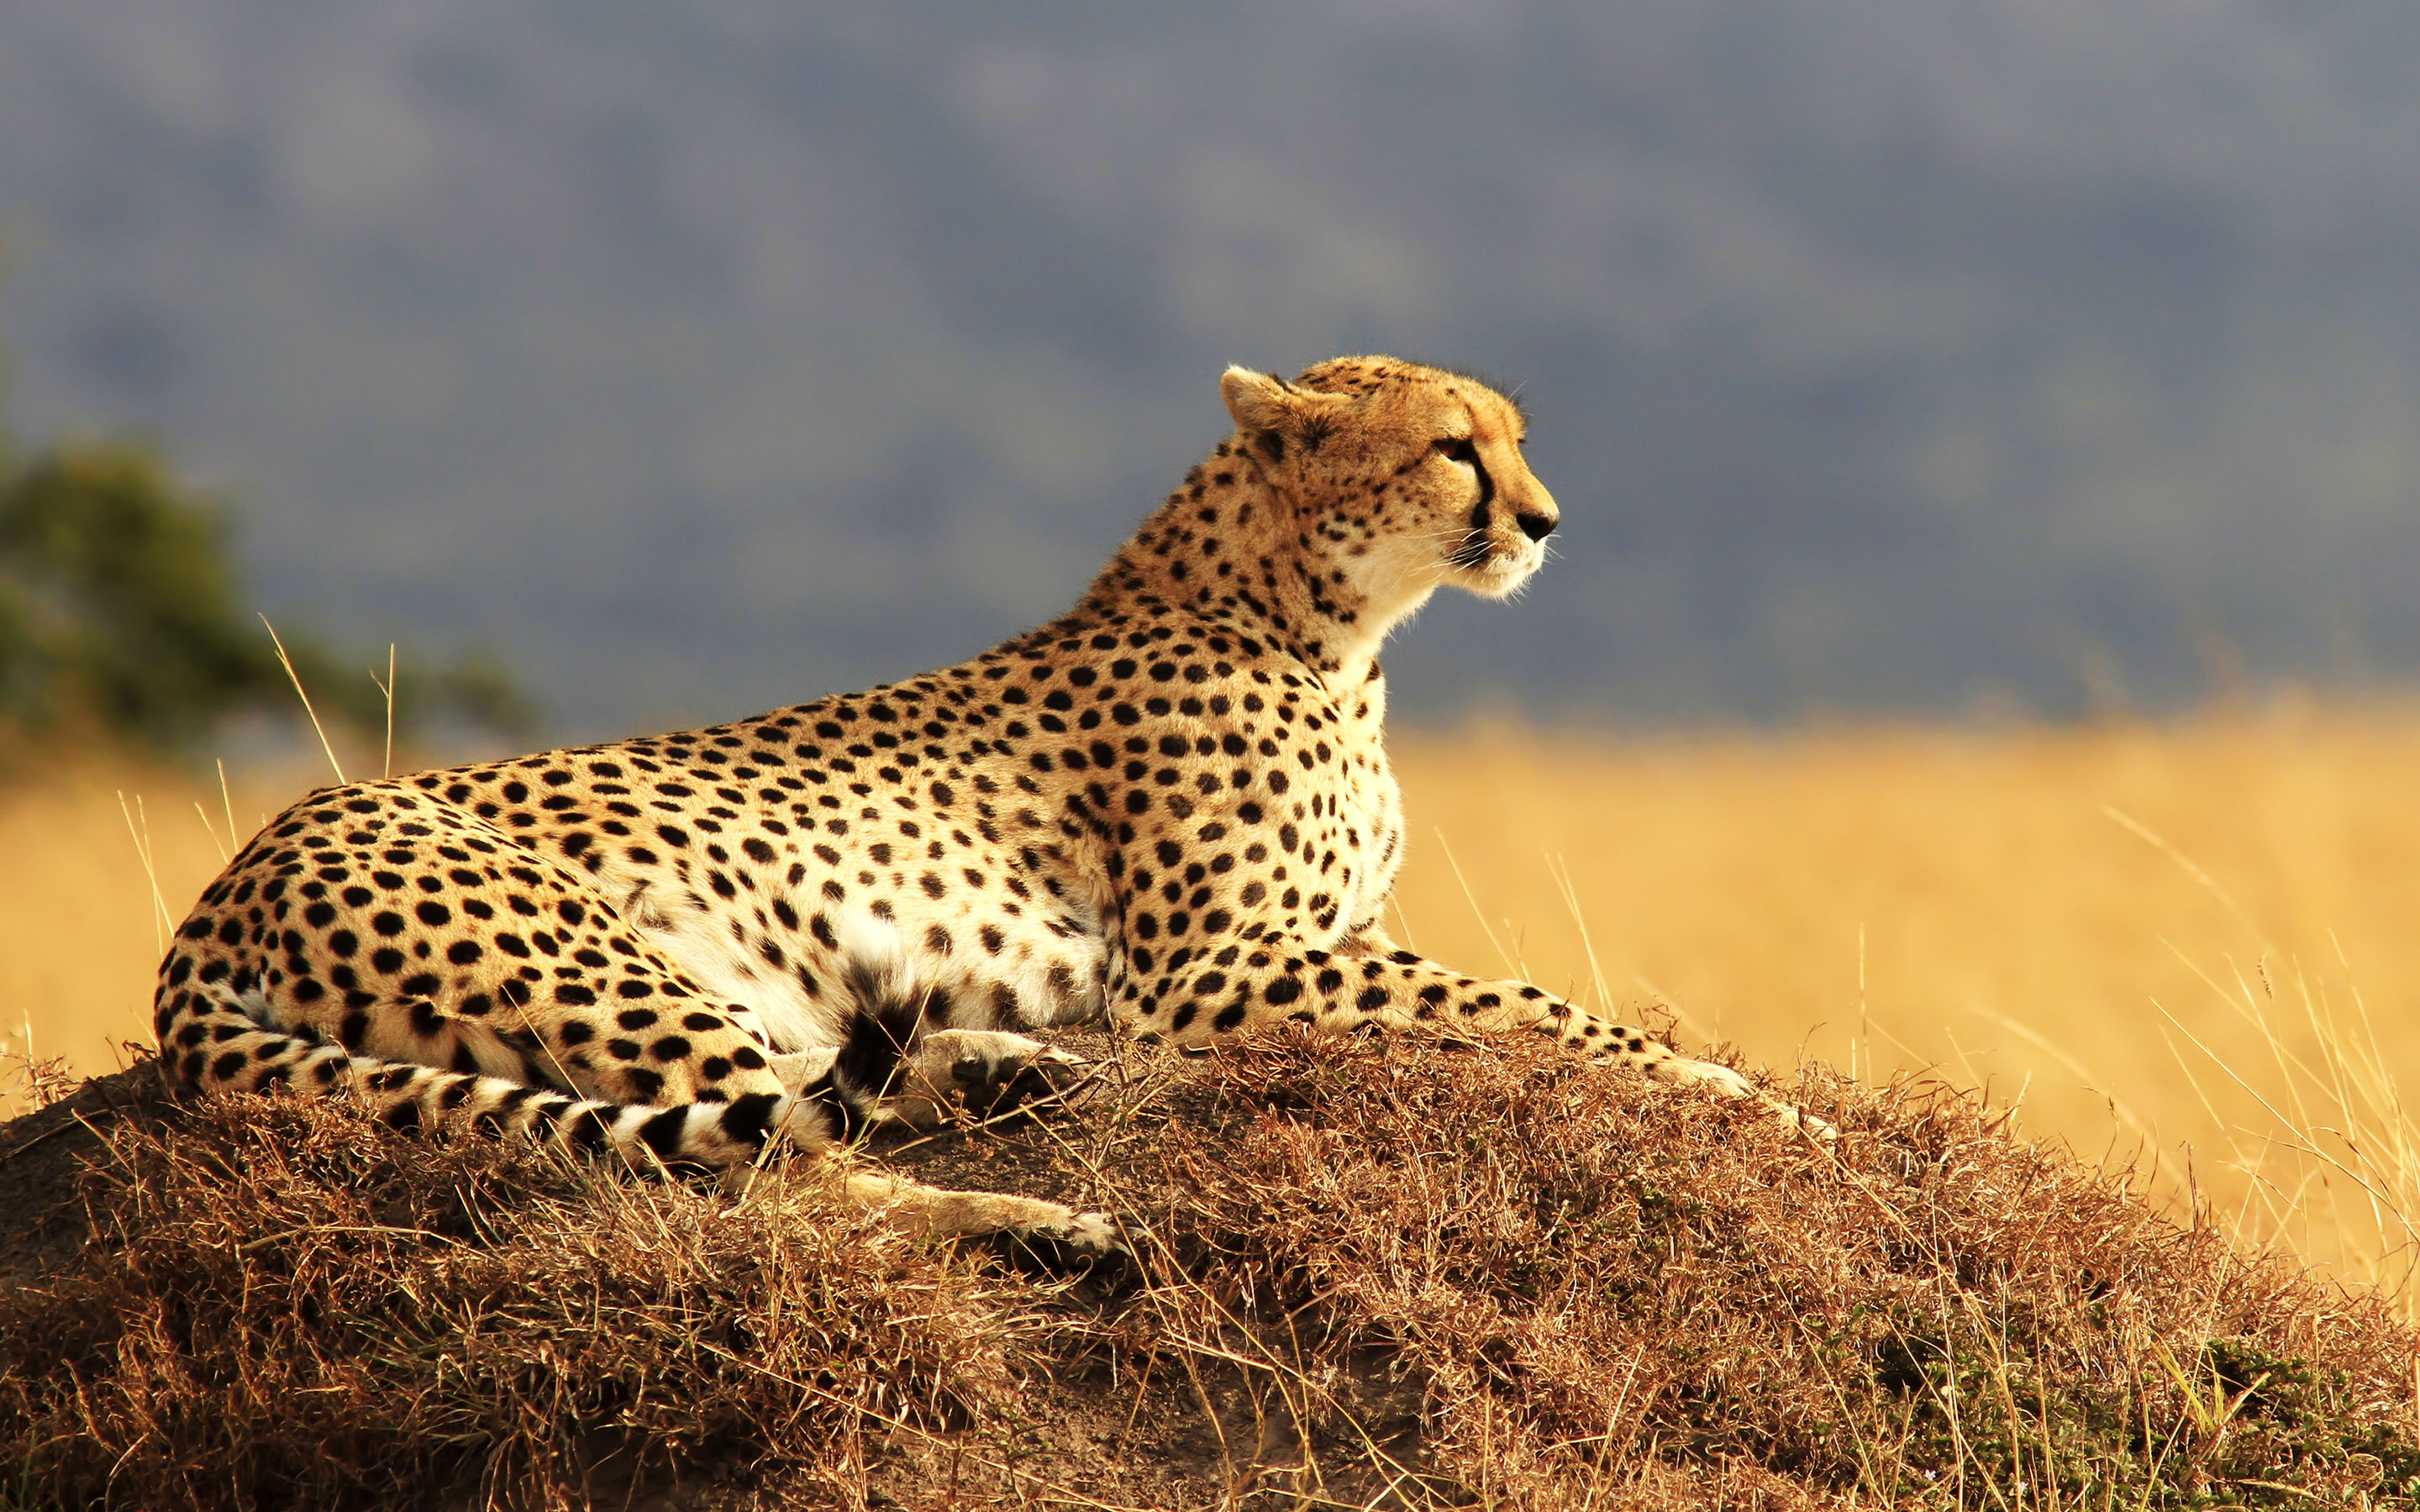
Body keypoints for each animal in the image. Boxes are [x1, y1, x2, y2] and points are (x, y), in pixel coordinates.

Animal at [152, 356, 1824, 1259]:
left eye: (1518, 440)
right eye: (1454, 448)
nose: (1545, 521)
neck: (1322, 624)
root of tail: (223, 886)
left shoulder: (1303, 945)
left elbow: (1509, 999)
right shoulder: (1208, 972)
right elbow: (1531, 1004)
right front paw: (1750, 1098)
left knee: (813, 1098)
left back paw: (1013, 1080)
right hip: (602, 965)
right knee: (778, 1178)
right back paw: (1043, 1219)